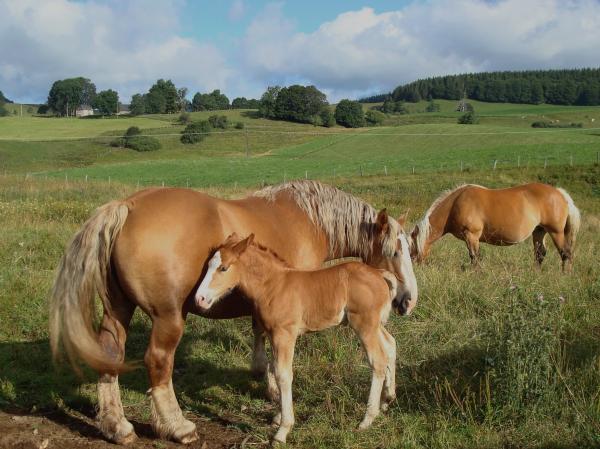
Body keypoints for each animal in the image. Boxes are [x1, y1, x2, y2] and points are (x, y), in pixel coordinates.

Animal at [195, 233, 414, 442]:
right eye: (208, 265)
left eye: (223, 268)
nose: (200, 299)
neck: (273, 285)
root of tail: (379, 274)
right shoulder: (274, 335)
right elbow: (274, 369)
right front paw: (278, 417)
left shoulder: (284, 335)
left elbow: (283, 375)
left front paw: (283, 430)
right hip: (376, 325)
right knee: (390, 345)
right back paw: (387, 399)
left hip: (364, 324)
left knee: (377, 361)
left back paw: (367, 419)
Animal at [410, 182, 580, 270]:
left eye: (411, 248)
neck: (455, 204)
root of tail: (559, 193)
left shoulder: (471, 235)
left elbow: (474, 257)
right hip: (539, 231)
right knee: (540, 254)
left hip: (556, 232)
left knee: (566, 253)